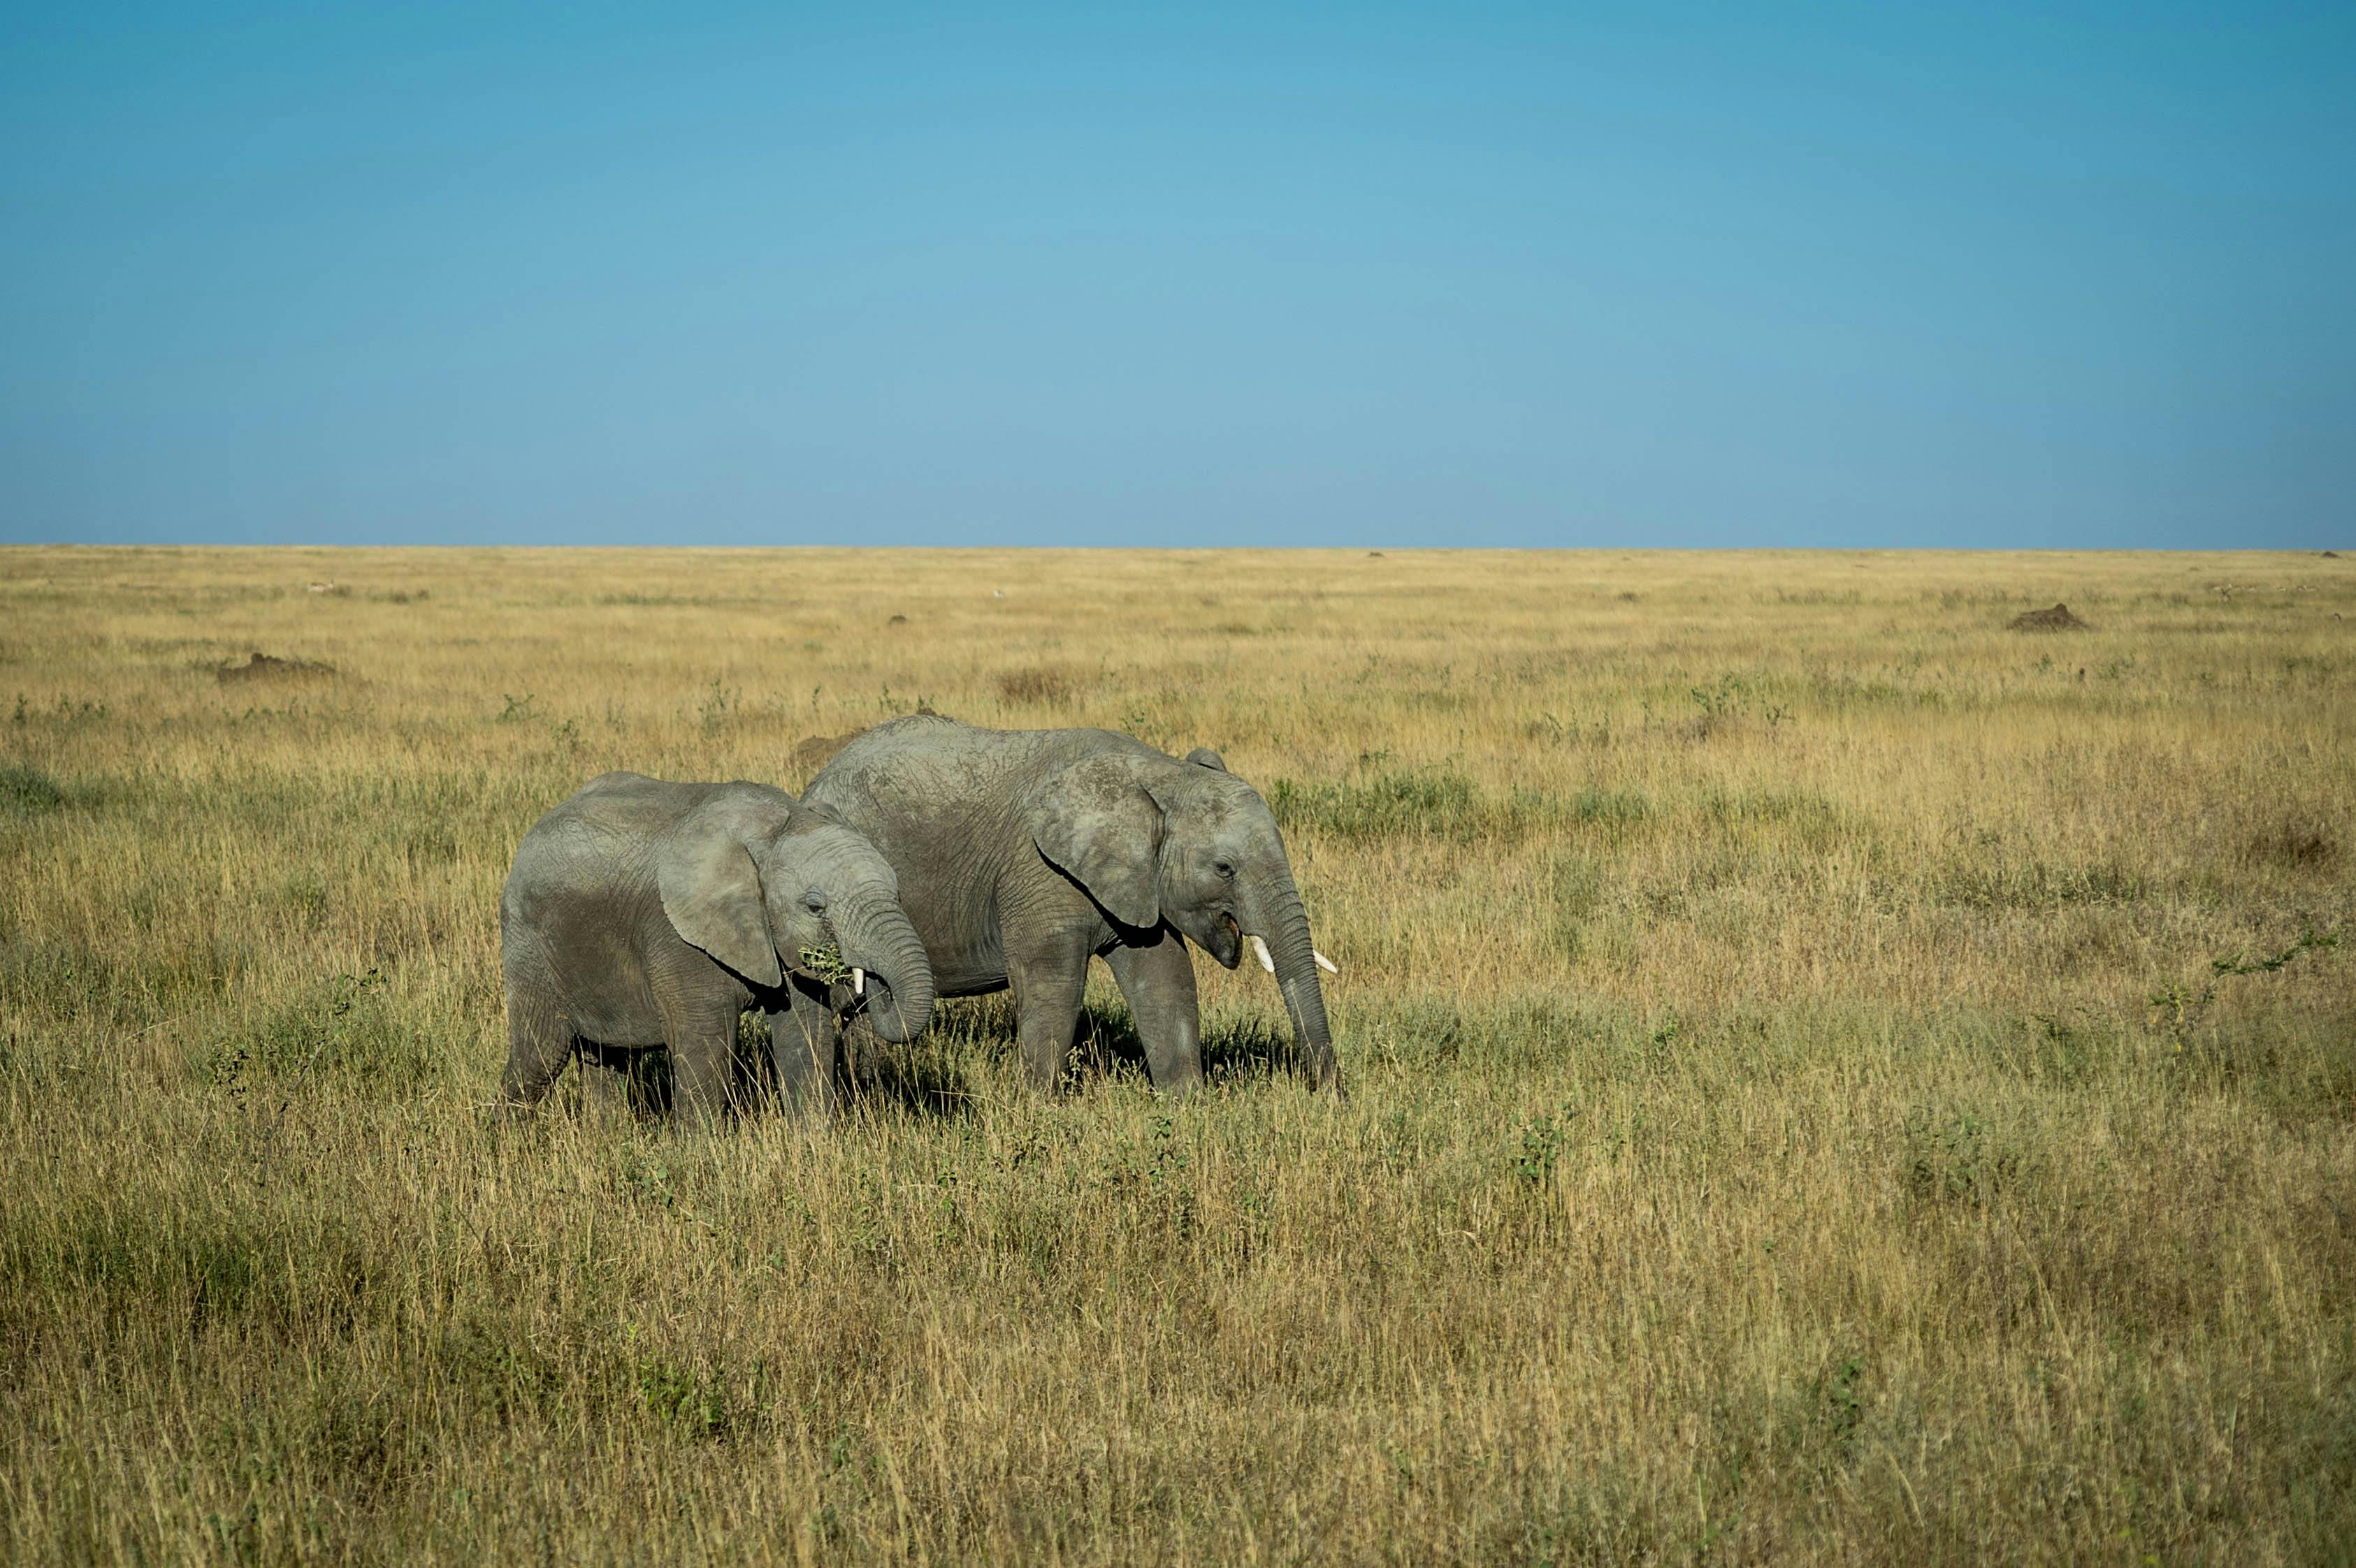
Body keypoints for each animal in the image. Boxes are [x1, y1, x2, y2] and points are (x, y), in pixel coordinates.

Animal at [498, 772, 936, 1124]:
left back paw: (608, 1137)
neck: (775, 828)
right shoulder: (678, 938)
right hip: (528, 943)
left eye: (898, 893)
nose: (868, 981)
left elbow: (805, 1035)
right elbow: (706, 1045)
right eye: (815, 907)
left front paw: (814, 1146)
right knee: (541, 1053)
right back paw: (510, 1141)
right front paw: (698, 1160)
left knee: (608, 1056)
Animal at [801, 717, 1340, 1099]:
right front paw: (1038, 1110)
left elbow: (1165, 978)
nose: (1331, 1097)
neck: (1157, 775)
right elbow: (1053, 983)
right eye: (1225, 868)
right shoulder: (1039, 871)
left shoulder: (1137, 880)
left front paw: (1187, 1105)